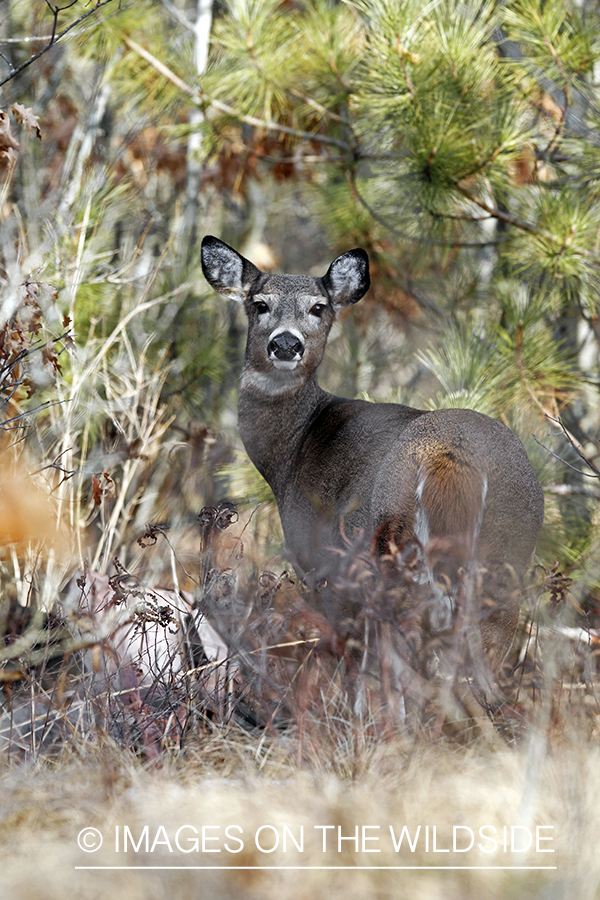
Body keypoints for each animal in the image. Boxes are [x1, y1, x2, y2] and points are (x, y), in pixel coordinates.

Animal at [200, 236, 544, 708]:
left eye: (318, 307)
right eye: (259, 304)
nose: (285, 344)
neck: (292, 450)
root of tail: (452, 455)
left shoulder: (322, 563)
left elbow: (352, 661)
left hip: (389, 547)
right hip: (510, 547)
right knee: (483, 652)